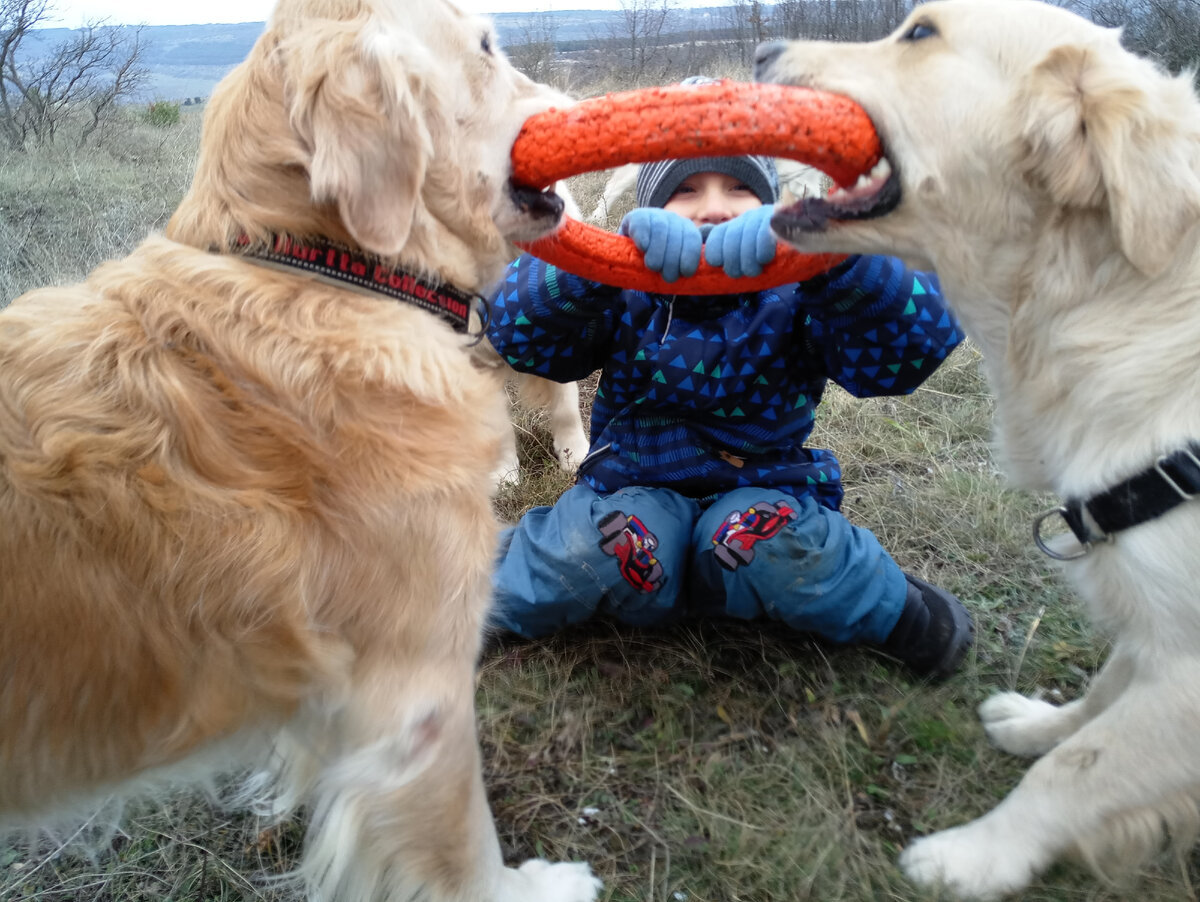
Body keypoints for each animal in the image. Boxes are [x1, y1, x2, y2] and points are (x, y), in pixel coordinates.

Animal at [763, 0, 1200, 897]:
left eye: (921, 34)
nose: (759, 49)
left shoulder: (1190, 671)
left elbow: (1083, 767)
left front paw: (976, 855)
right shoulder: (1159, 621)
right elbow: (1101, 701)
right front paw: (1039, 723)